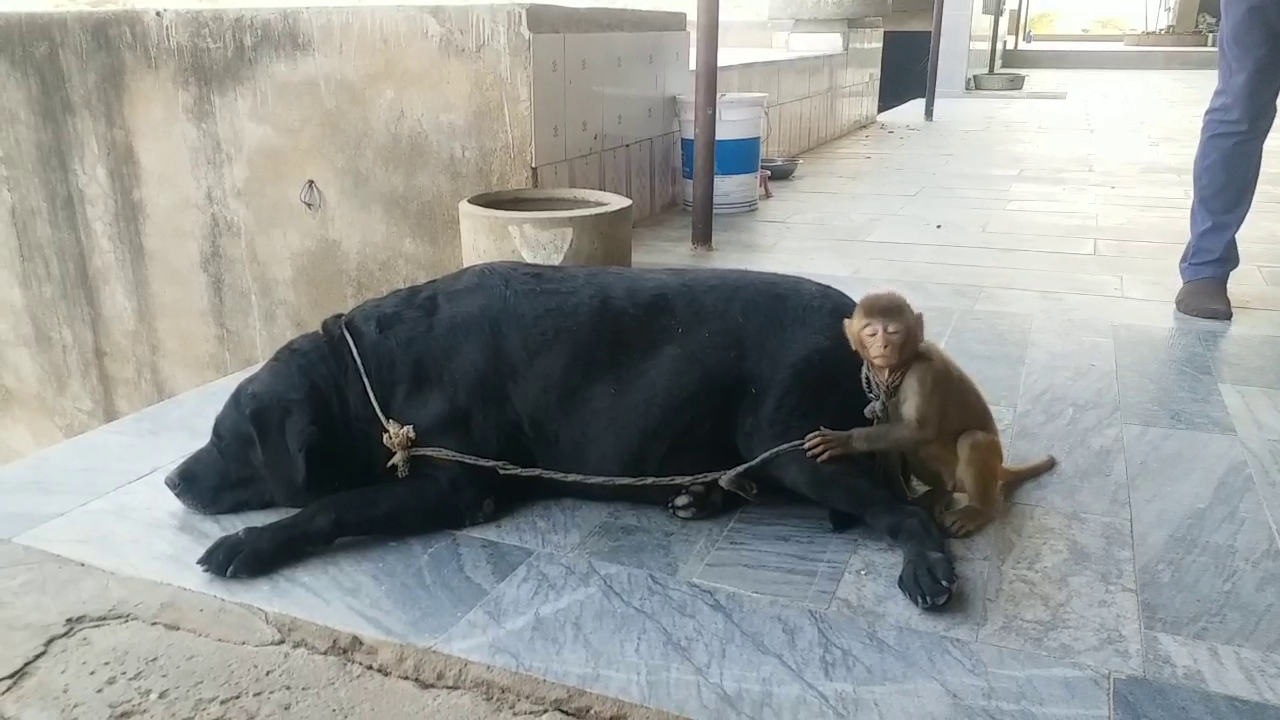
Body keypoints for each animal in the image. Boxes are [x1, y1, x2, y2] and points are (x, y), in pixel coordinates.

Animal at [165, 257, 957, 604]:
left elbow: (331, 507)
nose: (172, 478)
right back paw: (702, 494)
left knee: (906, 512)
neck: (371, 375)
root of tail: (853, 323)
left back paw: (925, 565)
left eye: (224, 439)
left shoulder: (456, 487)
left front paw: (251, 543)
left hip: (795, 442)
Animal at [803, 288, 1054, 535]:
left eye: (893, 331)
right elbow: (891, 435)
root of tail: (999, 468)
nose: (883, 345)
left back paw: (978, 510)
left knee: (973, 441)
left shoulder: (923, 374)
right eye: (871, 332)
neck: (901, 368)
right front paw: (897, 493)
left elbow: (919, 429)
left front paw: (846, 440)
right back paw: (941, 493)